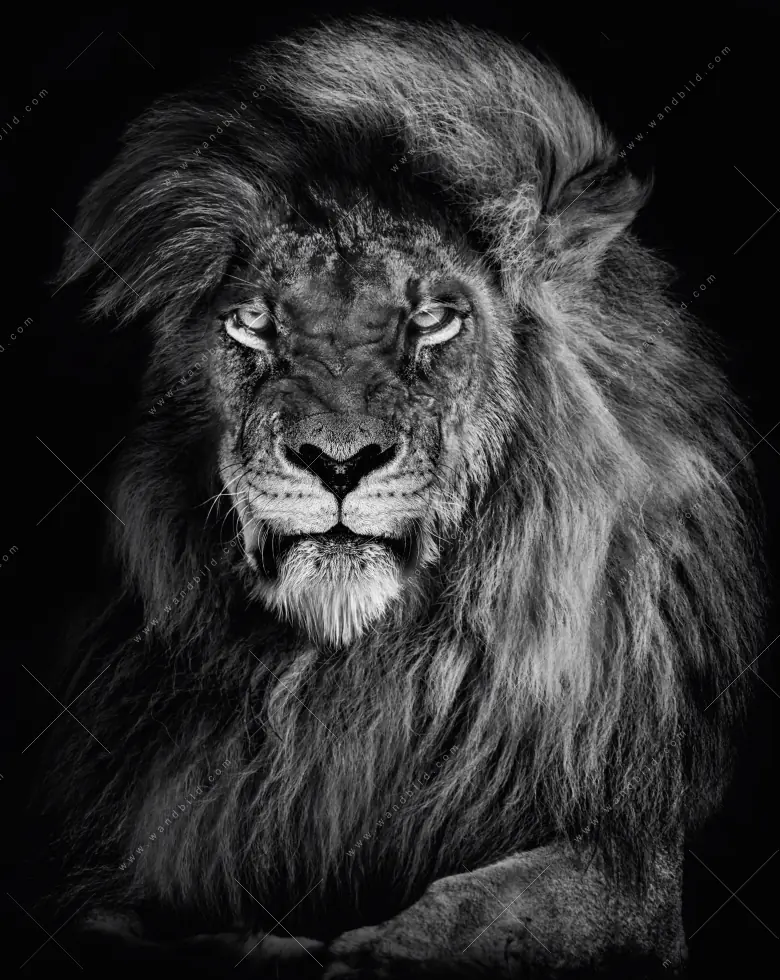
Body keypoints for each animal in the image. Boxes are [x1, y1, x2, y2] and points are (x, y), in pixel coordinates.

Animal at [36, 15, 763, 978]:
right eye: (253, 322)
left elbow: (490, 914)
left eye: (434, 319)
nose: (338, 462)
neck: (356, 674)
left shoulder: (632, 855)